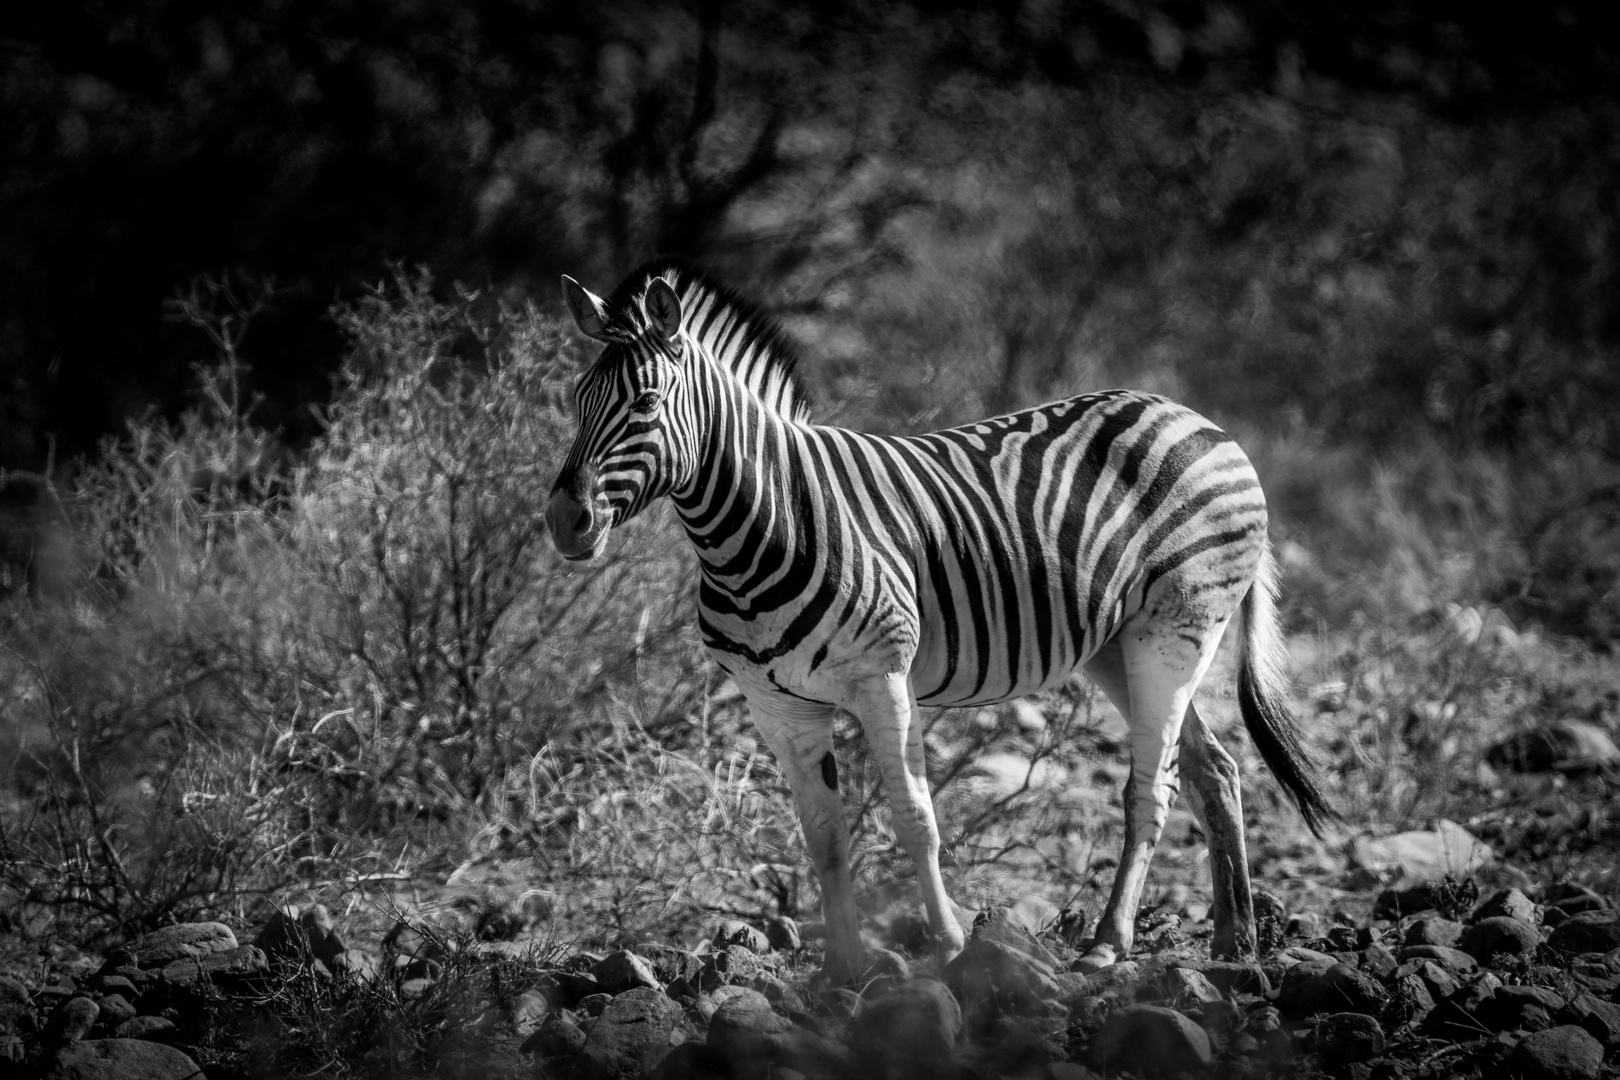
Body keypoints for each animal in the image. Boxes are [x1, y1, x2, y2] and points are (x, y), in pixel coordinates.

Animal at [544, 259, 1328, 977]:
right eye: (578, 400)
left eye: (646, 402)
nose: (564, 519)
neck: (761, 527)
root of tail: (1197, 417)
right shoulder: (778, 706)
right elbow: (823, 836)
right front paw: (845, 971)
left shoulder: (881, 676)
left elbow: (915, 817)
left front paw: (949, 944)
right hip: (1118, 645)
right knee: (1213, 769)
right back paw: (1234, 941)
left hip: (1176, 628)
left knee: (1152, 785)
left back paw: (1110, 943)